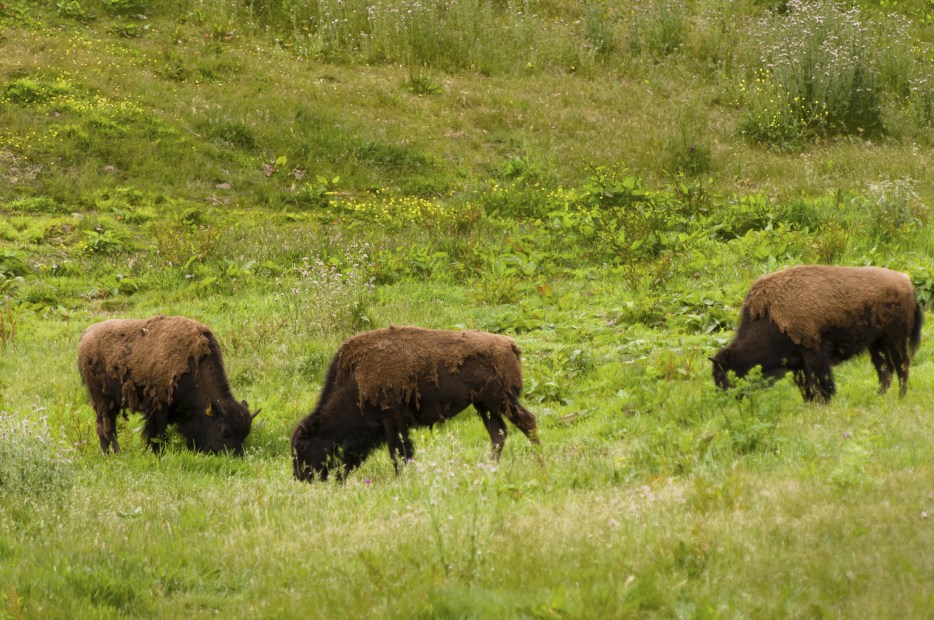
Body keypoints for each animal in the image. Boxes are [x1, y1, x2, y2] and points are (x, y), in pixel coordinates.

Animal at [77, 314, 258, 456]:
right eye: (224, 430)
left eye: (246, 432)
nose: (235, 456)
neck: (195, 366)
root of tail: (86, 335)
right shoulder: (159, 408)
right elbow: (157, 432)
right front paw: (157, 453)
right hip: (102, 402)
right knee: (106, 428)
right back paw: (113, 454)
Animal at [292, 326, 540, 482]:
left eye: (301, 446)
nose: (300, 478)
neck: (355, 377)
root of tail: (510, 345)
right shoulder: (373, 430)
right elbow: (353, 456)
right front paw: (341, 479)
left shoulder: (393, 422)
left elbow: (398, 453)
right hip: (484, 405)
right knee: (499, 433)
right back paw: (490, 467)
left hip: (501, 400)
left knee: (527, 421)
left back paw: (542, 463)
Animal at [712, 266, 924, 402]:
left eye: (722, 376)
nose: (726, 399)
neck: (769, 318)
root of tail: (907, 284)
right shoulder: (799, 363)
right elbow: (807, 386)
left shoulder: (814, 353)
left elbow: (820, 381)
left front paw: (825, 402)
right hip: (876, 344)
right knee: (885, 370)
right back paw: (879, 396)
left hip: (895, 340)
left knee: (901, 367)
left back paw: (901, 397)